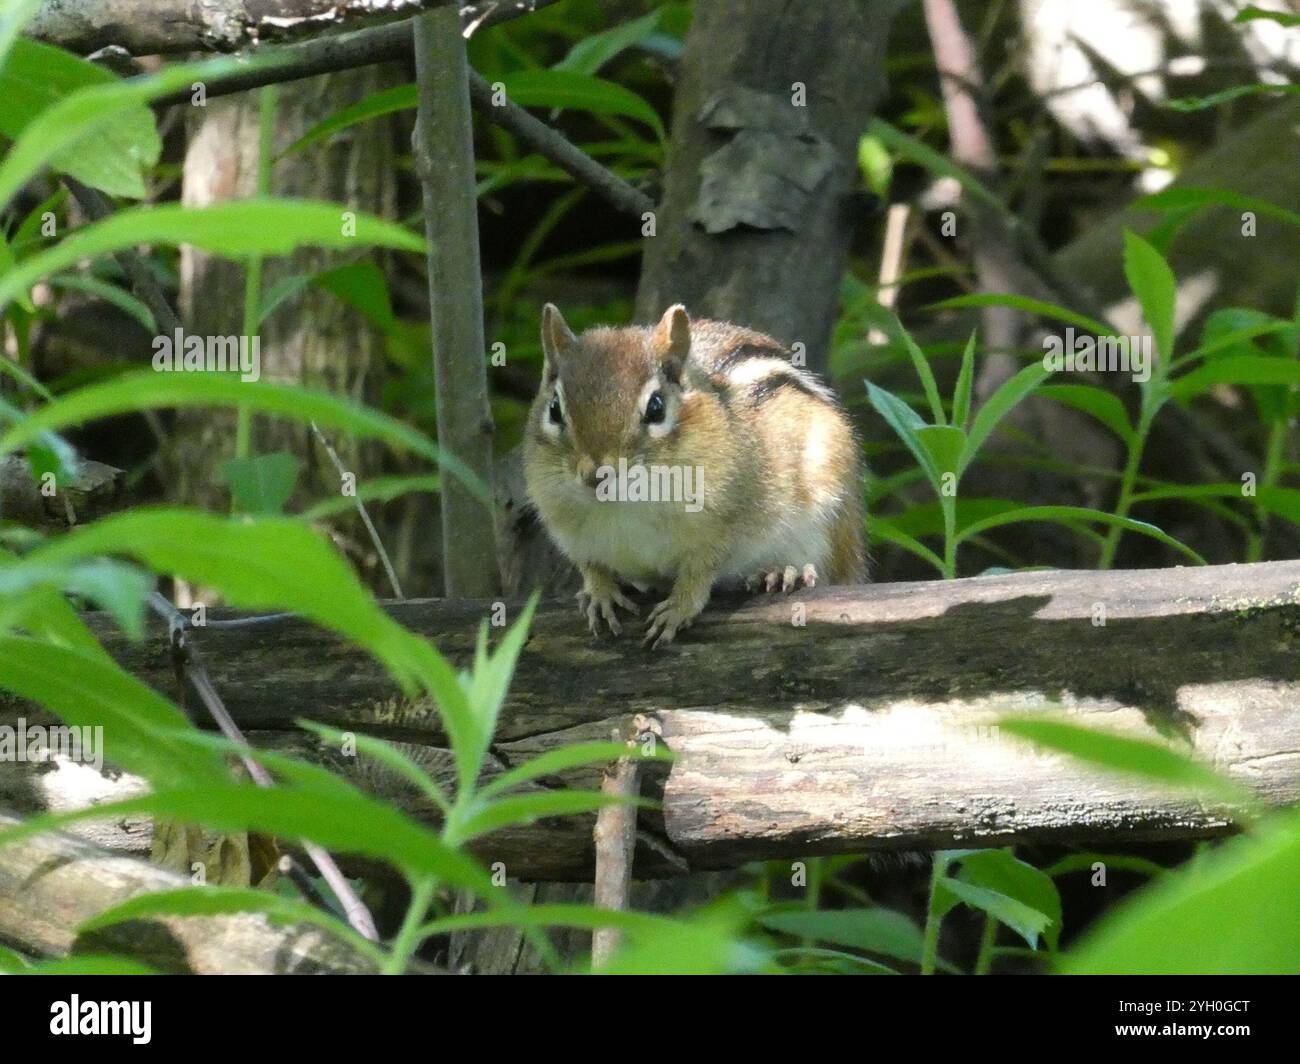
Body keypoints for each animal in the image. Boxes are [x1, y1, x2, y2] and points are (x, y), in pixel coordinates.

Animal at [523, 302, 867, 647]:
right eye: (554, 408)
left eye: (656, 408)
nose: (596, 475)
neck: (625, 504)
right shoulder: (571, 535)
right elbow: (591, 565)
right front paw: (599, 593)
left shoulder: (723, 525)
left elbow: (700, 570)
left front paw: (679, 607)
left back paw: (783, 572)